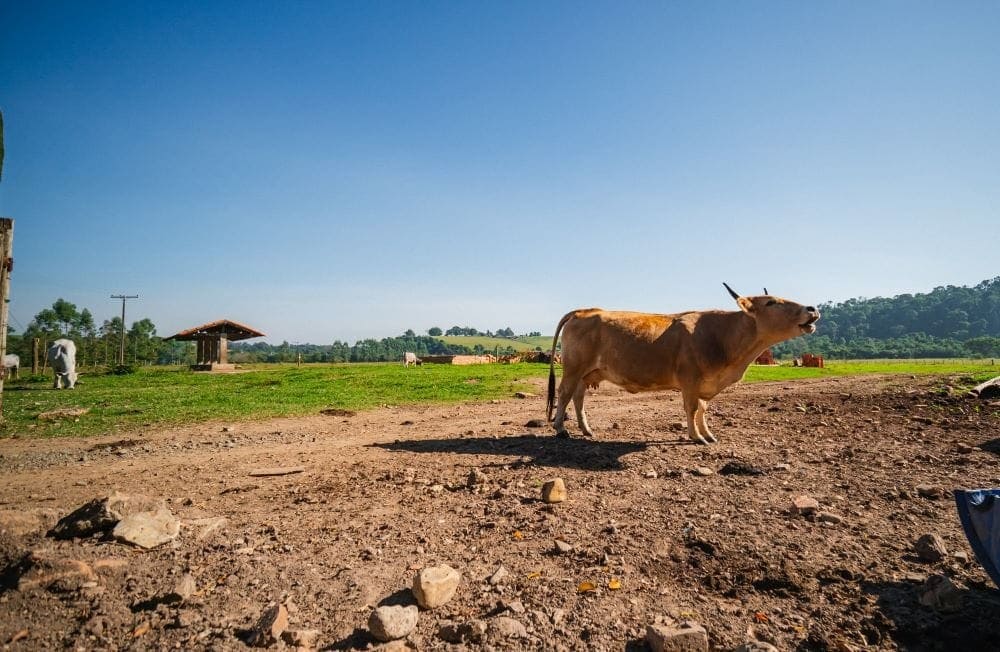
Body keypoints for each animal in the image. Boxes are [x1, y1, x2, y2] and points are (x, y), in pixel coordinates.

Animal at [546, 283, 819, 444]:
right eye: (771, 302)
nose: (812, 308)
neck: (723, 336)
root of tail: (584, 311)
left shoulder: (704, 383)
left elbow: (702, 409)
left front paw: (707, 433)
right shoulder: (690, 380)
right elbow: (691, 408)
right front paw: (696, 436)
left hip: (588, 372)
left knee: (578, 397)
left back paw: (586, 430)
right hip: (573, 369)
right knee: (564, 393)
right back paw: (560, 428)